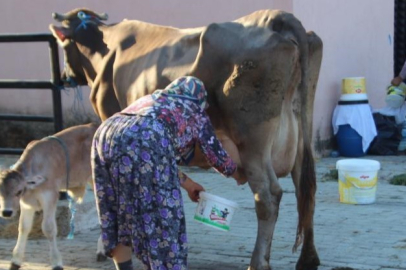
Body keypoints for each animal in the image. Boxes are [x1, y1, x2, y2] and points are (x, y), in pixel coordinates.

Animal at [0, 124, 104, 270]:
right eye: (0, 190)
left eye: (18, 191)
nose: (6, 212)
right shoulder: (27, 203)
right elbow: (23, 227)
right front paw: (15, 261)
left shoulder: (49, 197)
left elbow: (48, 228)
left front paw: (56, 262)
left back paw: (102, 251)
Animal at [50, 8, 324, 270]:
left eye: (64, 45)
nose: (63, 77)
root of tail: (278, 17)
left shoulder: (107, 112)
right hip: (302, 133)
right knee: (305, 189)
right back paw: (308, 259)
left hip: (253, 141)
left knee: (268, 195)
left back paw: (257, 263)